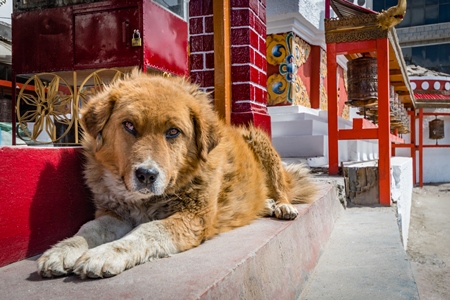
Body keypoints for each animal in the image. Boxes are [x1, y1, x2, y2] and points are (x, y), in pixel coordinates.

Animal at [37, 70, 316, 278]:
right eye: (129, 125)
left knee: (282, 187)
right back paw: (266, 204)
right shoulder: (114, 212)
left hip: (260, 142)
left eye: (173, 132)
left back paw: (282, 206)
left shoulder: (193, 218)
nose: (146, 175)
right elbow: (89, 228)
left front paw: (105, 253)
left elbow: (146, 231)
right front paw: (63, 249)